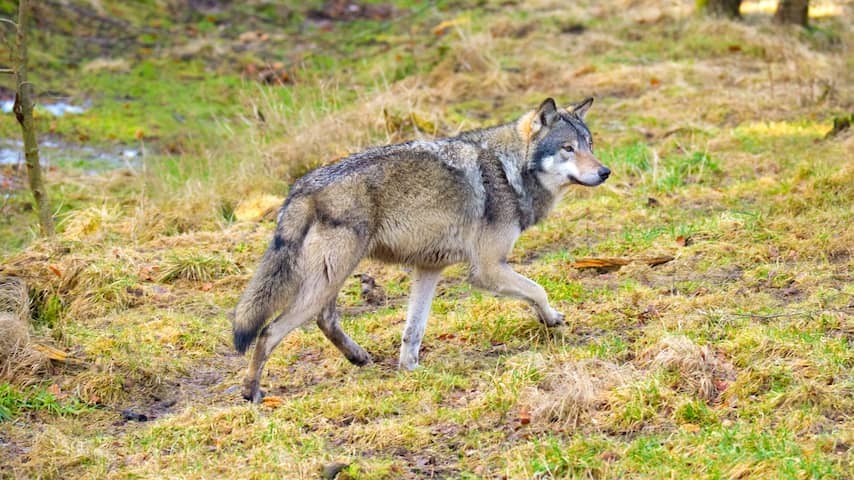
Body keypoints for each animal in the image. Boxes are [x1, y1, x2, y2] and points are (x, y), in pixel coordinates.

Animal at [233, 97, 610, 402]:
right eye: (567, 148)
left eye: (590, 144)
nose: (605, 171)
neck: (509, 171)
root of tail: (301, 187)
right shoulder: (487, 269)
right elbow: (538, 290)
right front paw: (552, 319)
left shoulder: (429, 268)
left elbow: (413, 330)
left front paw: (410, 370)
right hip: (330, 277)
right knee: (269, 332)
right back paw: (252, 392)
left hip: (331, 278)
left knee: (324, 319)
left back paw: (359, 357)